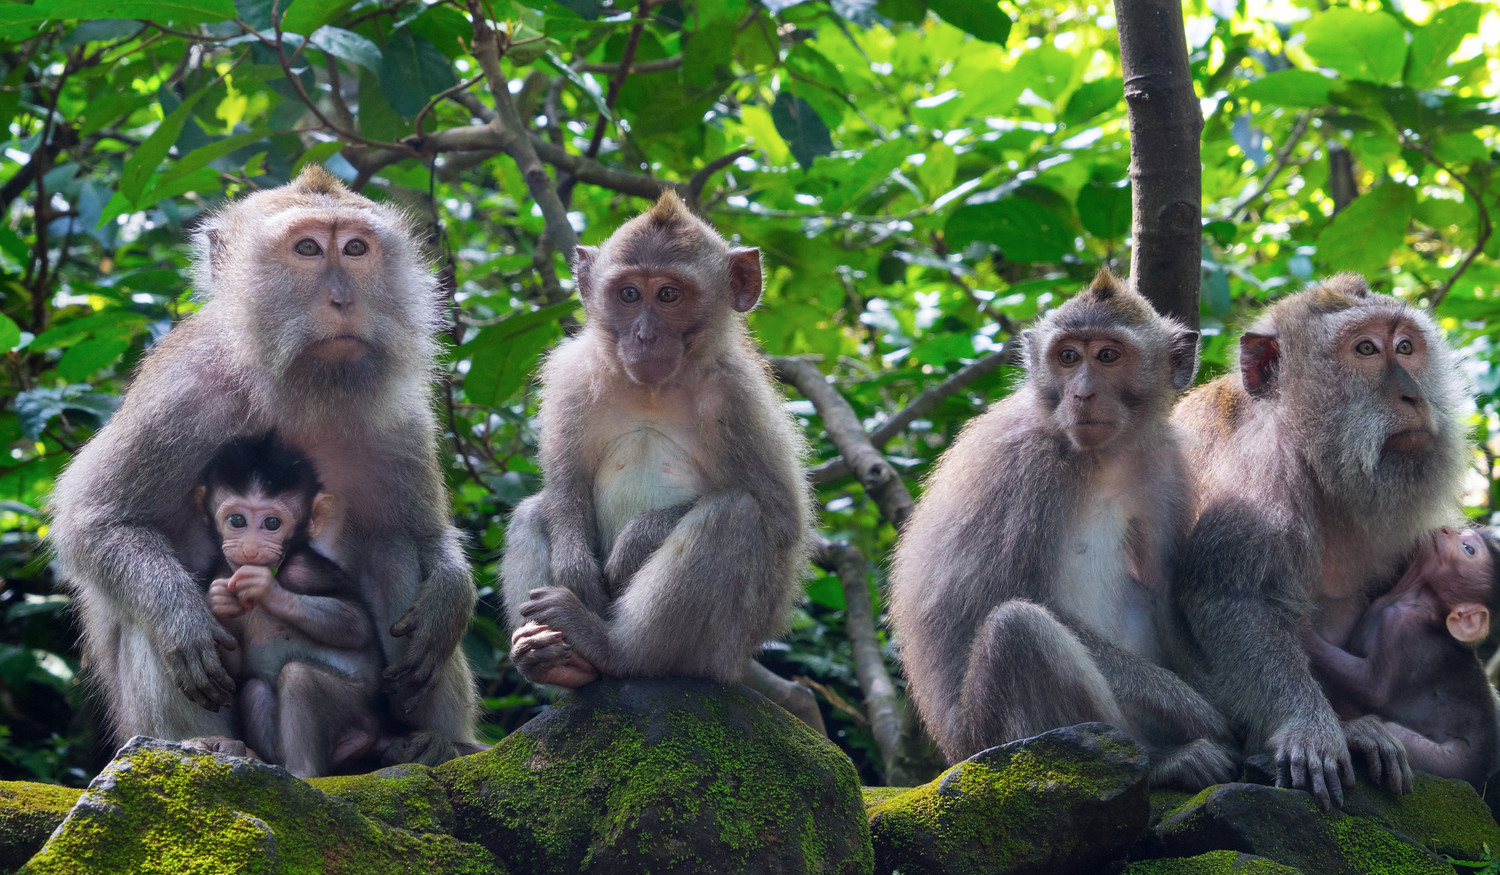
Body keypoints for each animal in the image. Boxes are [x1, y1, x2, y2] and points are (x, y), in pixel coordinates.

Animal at [196, 433, 383, 778]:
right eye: (237, 520)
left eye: (272, 523)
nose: (251, 550)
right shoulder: (221, 571)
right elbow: (236, 670)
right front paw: (217, 602)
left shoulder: (303, 569)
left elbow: (357, 623)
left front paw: (266, 589)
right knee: (254, 689)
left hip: (356, 705)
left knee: (300, 678)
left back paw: (301, 772)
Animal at [501, 191, 811, 689]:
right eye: (629, 294)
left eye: (669, 295)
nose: (644, 336)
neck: (653, 390)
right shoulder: (572, 376)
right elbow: (566, 485)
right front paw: (575, 568)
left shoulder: (737, 397)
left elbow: (780, 516)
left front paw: (633, 547)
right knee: (534, 510)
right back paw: (553, 658)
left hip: (721, 650)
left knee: (733, 513)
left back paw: (609, 648)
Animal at [887, 270, 1237, 791]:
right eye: (1068, 357)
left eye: (1108, 356)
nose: (1082, 394)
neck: (1103, 457)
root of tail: (954, 754)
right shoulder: (1026, 468)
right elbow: (1001, 595)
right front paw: (1192, 708)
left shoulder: (1166, 467)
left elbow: (1164, 595)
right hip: (987, 738)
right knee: (1018, 629)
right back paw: (1158, 761)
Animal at [1171, 274, 1470, 809]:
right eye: (1366, 349)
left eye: (1406, 347)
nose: (1414, 396)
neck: (1316, 458)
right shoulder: (1254, 472)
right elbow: (1229, 597)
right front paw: (1309, 726)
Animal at [1301, 525, 1500, 789]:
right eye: (1461, 532)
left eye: (1468, 549)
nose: (1447, 529)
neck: (1412, 595)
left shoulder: (1400, 626)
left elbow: (1372, 689)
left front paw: (1304, 633)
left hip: (1452, 762)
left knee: (1395, 731)